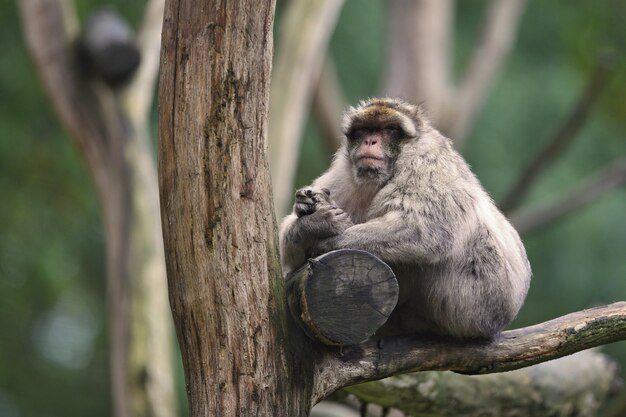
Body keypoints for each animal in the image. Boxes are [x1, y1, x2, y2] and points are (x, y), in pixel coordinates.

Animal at [280, 97, 528, 338]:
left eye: (389, 129)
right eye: (364, 130)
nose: (370, 141)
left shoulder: (425, 162)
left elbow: (427, 230)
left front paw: (326, 242)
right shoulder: (343, 174)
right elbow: (287, 246)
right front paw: (312, 225)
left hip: (474, 304)